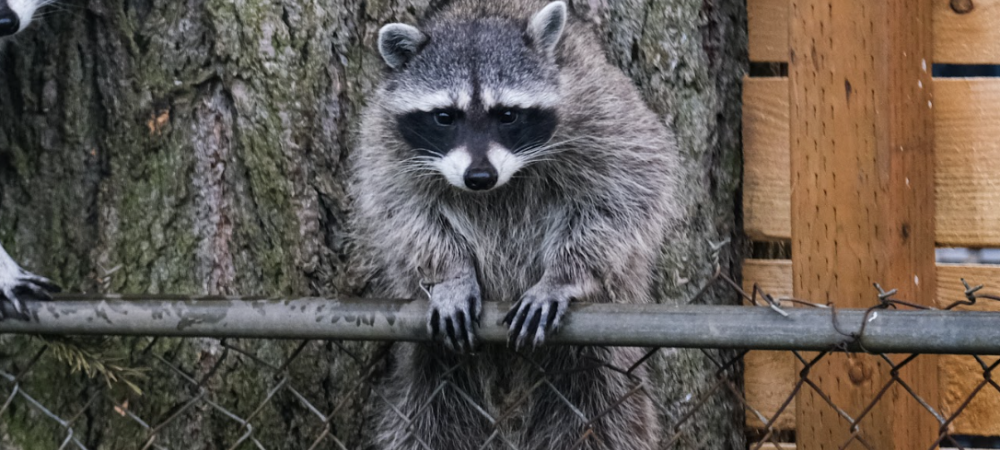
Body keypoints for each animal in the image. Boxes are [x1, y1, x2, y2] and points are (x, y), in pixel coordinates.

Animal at [350, 1, 680, 448]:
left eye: (507, 115)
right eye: (444, 117)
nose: (479, 177)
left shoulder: (602, 113)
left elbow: (626, 194)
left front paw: (565, 274)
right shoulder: (384, 142)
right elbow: (404, 212)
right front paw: (450, 272)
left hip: (593, 364)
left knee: (602, 423)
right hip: (438, 374)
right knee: (424, 425)